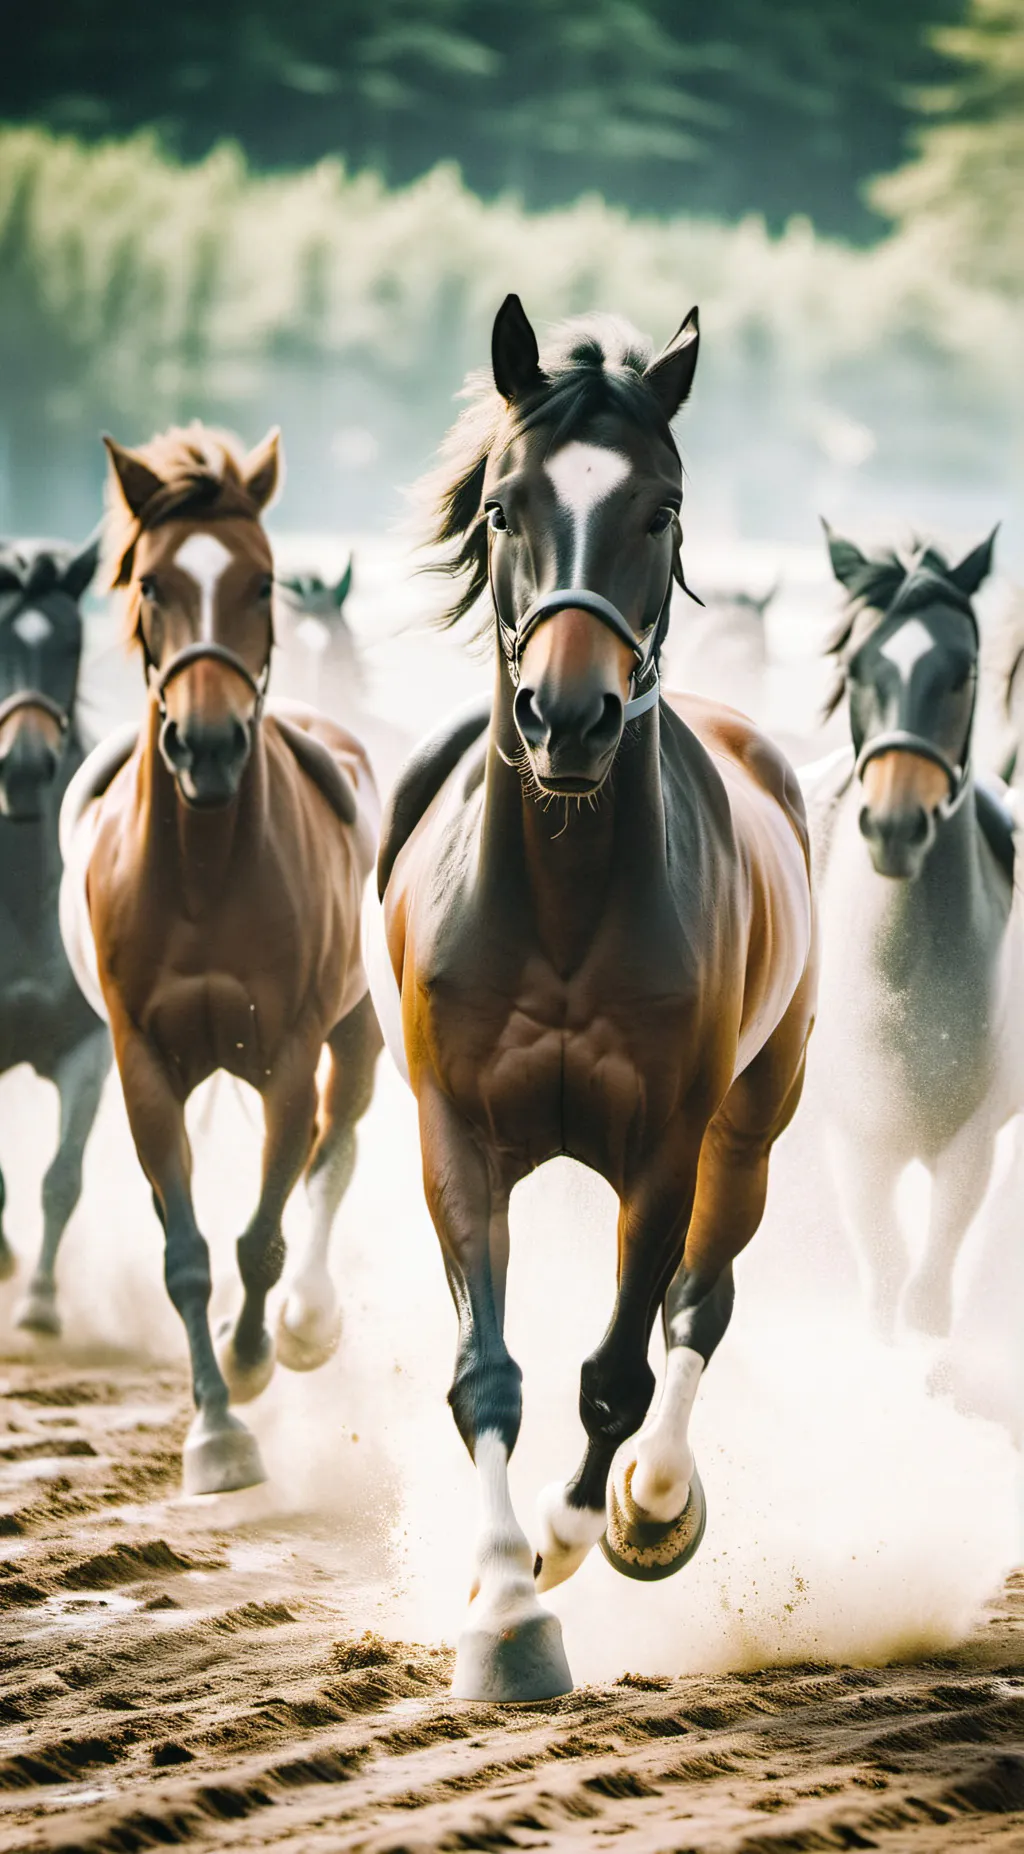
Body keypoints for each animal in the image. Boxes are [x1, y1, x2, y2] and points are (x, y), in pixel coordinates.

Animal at [59, 425, 382, 1496]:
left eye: (261, 581)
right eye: (155, 583)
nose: (206, 746)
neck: (203, 867)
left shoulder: (287, 1051)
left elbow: (262, 1236)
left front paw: (250, 1361)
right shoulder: (142, 1064)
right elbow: (189, 1254)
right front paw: (214, 1432)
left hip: (353, 1031)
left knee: (337, 1138)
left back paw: (307, 1323)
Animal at [366, 297, 817, 1700]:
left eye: (660, 508)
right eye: (503, 505)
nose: (568, 716)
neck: (562, 898)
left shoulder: (666, 1147)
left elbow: (616, 1372)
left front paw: (570, 1542)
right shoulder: (456, 1135)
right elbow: (486, 1375)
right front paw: (503, 1609)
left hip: (753, 1125)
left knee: (697, 1306)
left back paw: (655, 1505)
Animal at [801, 525, 1020, 1341]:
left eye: (961, 674)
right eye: (858, 667)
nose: (895, 825)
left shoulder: (972, 1145)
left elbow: (925, 1298)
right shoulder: (858, 1144)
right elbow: (887, 1279)